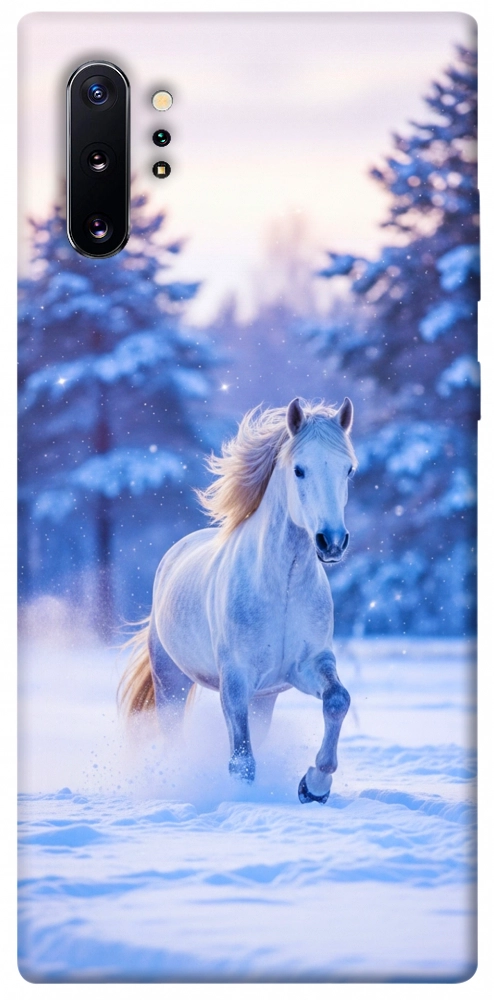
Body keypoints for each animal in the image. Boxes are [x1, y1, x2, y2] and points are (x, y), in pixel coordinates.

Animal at [119, 396, 357, 803]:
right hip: (171, 681)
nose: (332, 542)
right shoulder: (235, 679)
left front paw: (314, 786)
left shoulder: (307, 665)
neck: (282, 588)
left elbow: (338, 700)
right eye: (299, 470)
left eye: (348, 470)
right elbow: (242, 761)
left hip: (264, 698)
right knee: (173, 735)